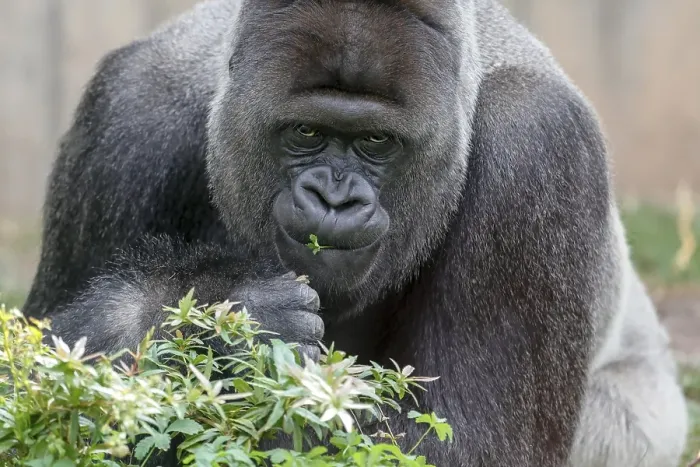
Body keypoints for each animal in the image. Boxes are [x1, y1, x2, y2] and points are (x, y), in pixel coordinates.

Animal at [23, 0, 688, 465]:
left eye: (375, 141)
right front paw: (218, 319)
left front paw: (223, 326)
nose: (333, 198)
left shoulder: (538, 144)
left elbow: (466, 446)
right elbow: (43, 378)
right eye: (305, 133)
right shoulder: (130, 117)